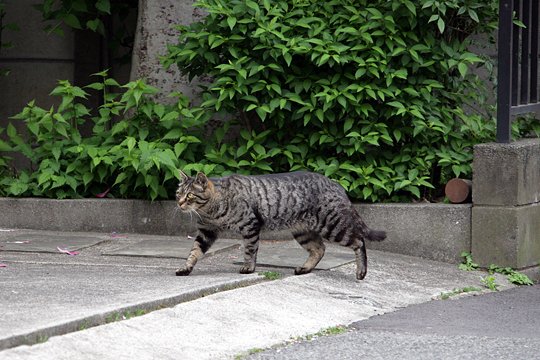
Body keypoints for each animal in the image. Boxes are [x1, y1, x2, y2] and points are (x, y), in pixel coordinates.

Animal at [175, 170, 386, 280]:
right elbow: (194, 251)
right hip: (303, 232)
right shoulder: (206, 231)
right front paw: (186, 268)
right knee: (319, 249)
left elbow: (250, 250)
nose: (179, 203)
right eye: (179, 193)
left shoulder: (250, 225)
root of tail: (337, 185)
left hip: (333, 226)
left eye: (190, 195)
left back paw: (361, 272)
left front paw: (248, 268)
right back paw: (304, 269)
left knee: (359, 241)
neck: (211, 210)